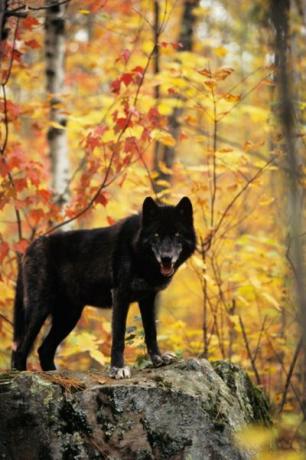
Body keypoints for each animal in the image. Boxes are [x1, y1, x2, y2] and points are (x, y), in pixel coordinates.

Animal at [11, 196, 196, 380]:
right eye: (156, 235)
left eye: (177, 234)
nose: (166, 258)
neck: (137, 251)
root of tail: (29, 247)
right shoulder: (120, 295)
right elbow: (119, 336)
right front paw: (118, 368)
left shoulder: (148, 299)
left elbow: (151, 331)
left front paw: (158, 359)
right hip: (40, 311)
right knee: (20, 349)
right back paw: (22, 375)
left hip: (69, 316)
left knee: (44, 349)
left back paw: (56, 375)